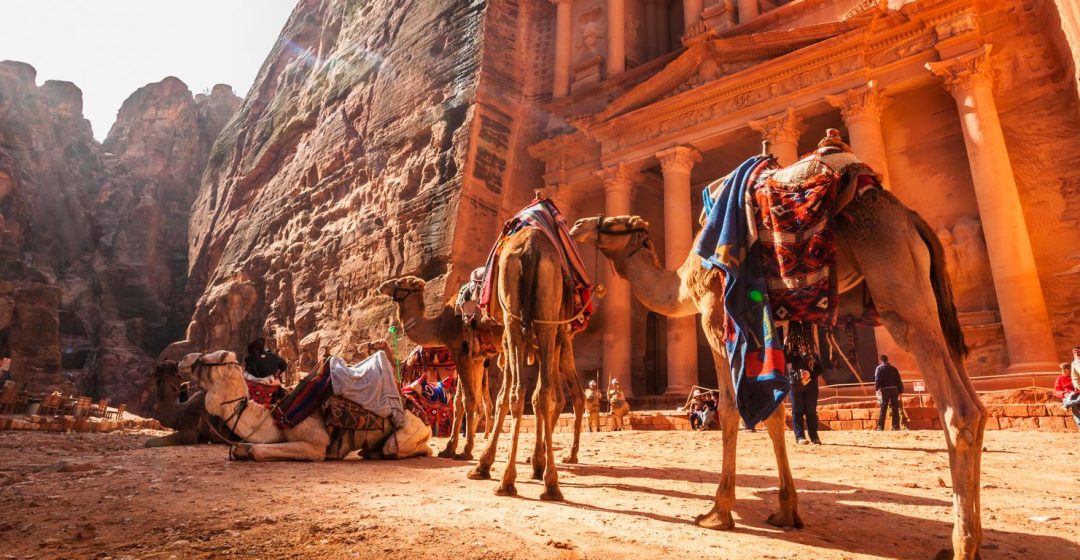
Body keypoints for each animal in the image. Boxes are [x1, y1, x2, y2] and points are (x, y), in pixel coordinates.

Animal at [180, 351, 432, 461]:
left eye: (205, 359)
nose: (184, 359)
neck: (275, 417)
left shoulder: (315, 445)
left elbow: (256, 450)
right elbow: (242, 447)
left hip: (406, 435)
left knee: (403, 449)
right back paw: (369, 451)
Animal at [569, 173, 985, 558]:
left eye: (616, 223)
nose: (578, 225)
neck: (684, 282)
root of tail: (911, 219)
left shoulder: (715, 317)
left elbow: (730, 407)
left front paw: (718, 511)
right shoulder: (766, 326)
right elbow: (774, 412)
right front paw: (787, 510)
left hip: (897, 284)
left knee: (958, 410)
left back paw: (962, 546)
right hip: (930, 298)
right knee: (977, 407)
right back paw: (970, 541)